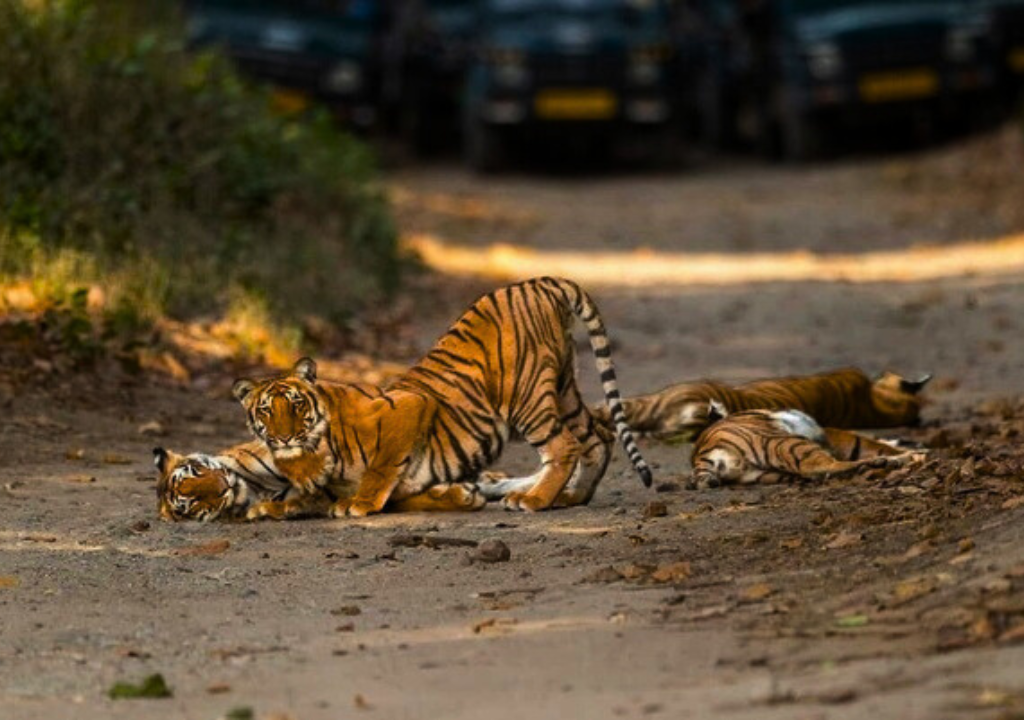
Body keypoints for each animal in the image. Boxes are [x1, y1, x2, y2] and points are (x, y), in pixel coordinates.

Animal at [230, 276, 652, 518]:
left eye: (296, 405)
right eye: (266, 411)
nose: (284, 437)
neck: (310, 457)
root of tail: (539, 283)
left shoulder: (409, 407)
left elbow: (382, 467)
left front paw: (359, 504)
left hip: (528, 397)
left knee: (564, 446)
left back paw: (534, 500)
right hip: (563, 389)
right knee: (598, 436)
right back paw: (569, 497)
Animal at [688, 401, 924, 489]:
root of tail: (699, 457)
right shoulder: (831, 435)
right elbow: (867, 443)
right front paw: (914, 453)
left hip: (767, 474)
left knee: (814, 472)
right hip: (780, 441)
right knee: (822, 466)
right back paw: (892, 461)